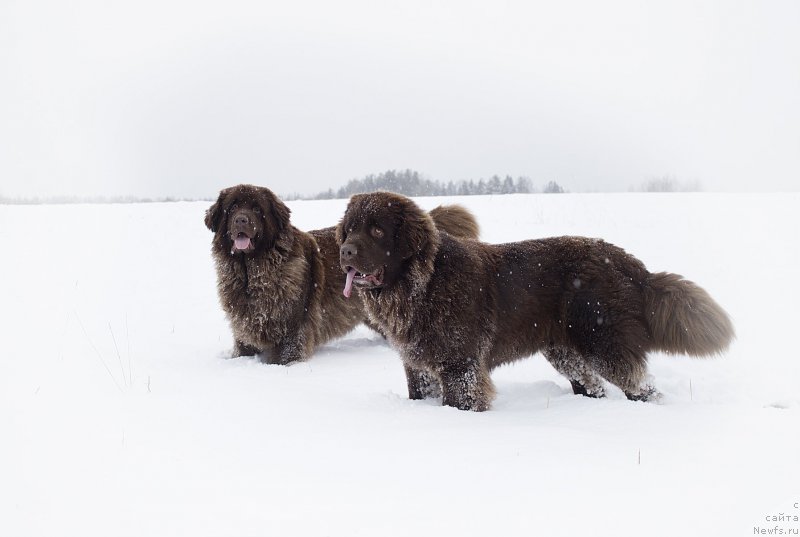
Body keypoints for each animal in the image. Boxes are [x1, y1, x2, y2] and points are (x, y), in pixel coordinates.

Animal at [206, 184, 478, 364]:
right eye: (233, 207)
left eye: (256, 209)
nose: (241, 220)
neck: (251, 273)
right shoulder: (245, 329)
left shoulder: (293, 331)